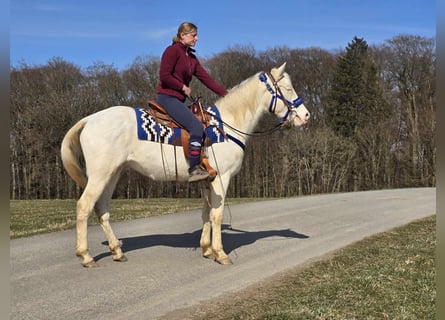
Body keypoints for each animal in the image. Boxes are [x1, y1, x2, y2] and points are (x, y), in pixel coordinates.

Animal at [59, 62, 308, 268]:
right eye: (287, 89)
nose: (305, 116)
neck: (225, 125)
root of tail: (90, 119)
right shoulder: (222, 177)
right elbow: (217, 215)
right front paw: (220, 253)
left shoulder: (208, 180)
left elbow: (206, 213)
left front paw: (207, 249)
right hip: (100, 175)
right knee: (84, 206)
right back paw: (86, 256)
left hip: (113, 174)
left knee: (102, 208)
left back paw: (117, 251)